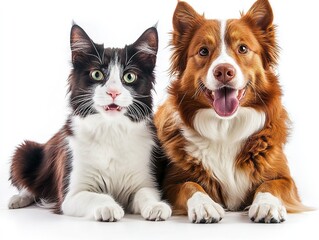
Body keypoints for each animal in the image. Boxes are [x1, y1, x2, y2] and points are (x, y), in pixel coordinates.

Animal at [8, 23, 172, 221]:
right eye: (97, 74)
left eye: (129, 77)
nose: (113, 92)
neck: (111, 130)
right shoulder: (71, 195)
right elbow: (97, 196)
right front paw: (109, 207)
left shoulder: (144, 179)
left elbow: (145, 193)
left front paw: (156, 206)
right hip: (25, 151)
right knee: (30, 185)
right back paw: (18, 199)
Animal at [155, 0, 310, 223]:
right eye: (203, 51)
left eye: (243, 48)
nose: (224, 71)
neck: (225, 128)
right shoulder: (172, 183)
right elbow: (190, 186)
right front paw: (205, 206)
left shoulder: (286, 179)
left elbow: (271, 184)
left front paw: (266, 205)